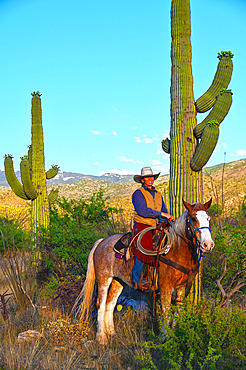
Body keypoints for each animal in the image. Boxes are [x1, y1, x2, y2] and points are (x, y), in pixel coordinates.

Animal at [74, 198, 214, 346]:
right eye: (193, 219)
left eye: (208, 218)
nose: (208, 245)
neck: (176, 250)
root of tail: (101, 242)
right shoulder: (166, 287)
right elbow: (166, 312)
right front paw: (164, 338)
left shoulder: (181, 288)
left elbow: (177, 312)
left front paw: (174, 335)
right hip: (103, 279)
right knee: (100, 305)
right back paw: (101, 337)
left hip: (119, 281)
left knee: (110, 304)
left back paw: (111, 333)